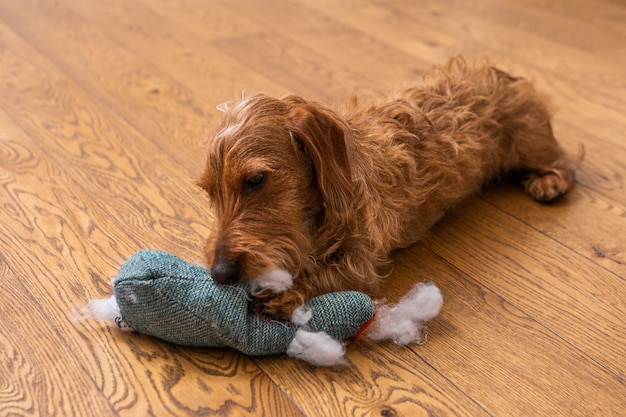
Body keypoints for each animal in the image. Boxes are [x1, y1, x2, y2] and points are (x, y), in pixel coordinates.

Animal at [196, 57, 576, 318]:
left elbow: (330, 274)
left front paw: (288, 291)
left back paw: (549, 180)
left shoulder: (361, 259)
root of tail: (503, 73)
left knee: (564, 160)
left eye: (255, 180)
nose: (220, 274)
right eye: (209, 192)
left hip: (529, 141)